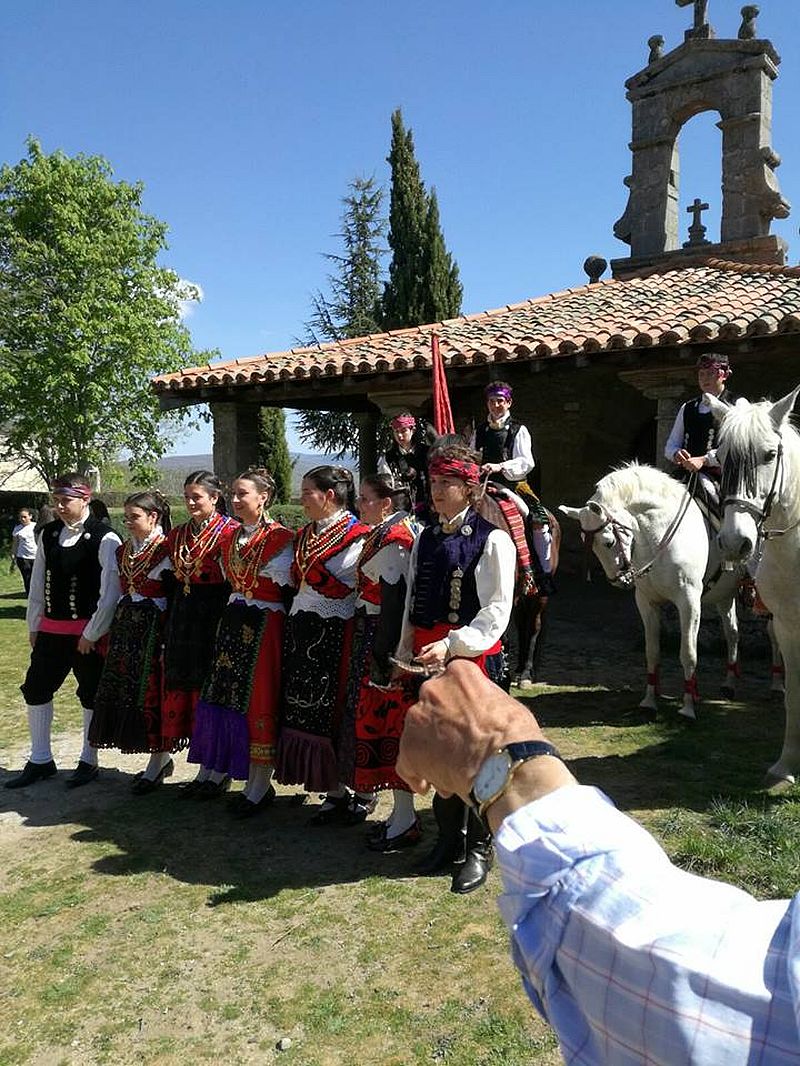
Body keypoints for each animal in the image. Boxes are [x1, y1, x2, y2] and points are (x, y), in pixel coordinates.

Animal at [560, 462, 746, 719]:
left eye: (608, 542)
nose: (619, 580)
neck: (660, 537)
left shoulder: (689, 602)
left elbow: (688, 653)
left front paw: (688, 708)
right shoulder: (647, 602)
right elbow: (652, 652)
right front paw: (650, 701)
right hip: (724, 596)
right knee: (732, 632)